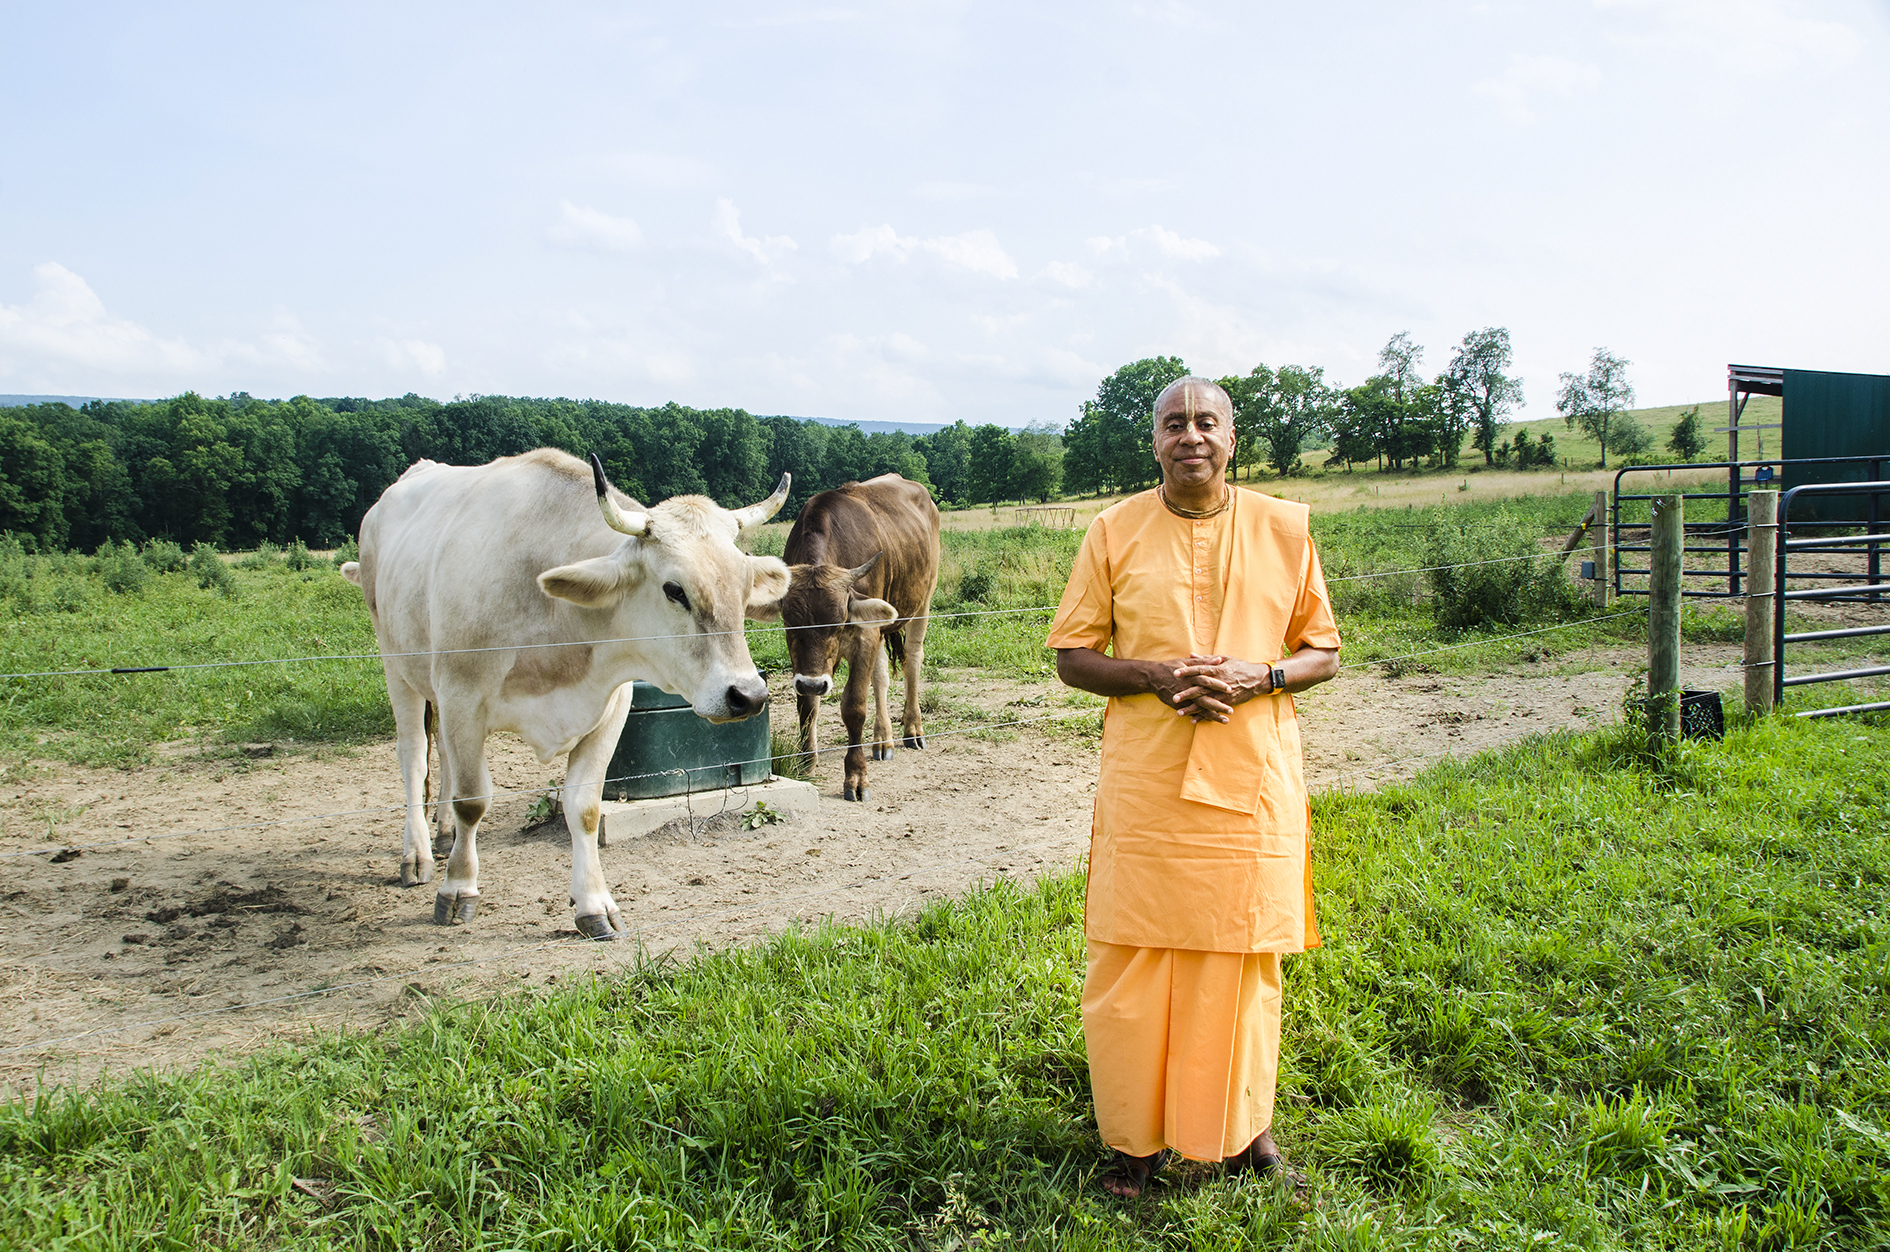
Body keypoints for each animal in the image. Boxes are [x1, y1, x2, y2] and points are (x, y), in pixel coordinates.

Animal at [343, 452, 786, 941]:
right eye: (675, 590)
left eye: (745, 587)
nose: (748, 694)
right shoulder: (462, 696)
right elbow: (472, 801)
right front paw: (457, 888)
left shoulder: (611, 707)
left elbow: (585, 808)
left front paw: (593, 904)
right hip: (395, 663)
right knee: (414, 756)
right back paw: (418, 853)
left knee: (440, 753)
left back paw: (443, 835)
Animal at [763, 470, 941, 805]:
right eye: (790, 623)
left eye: (837, 623)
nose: (814, 683)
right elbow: (807, 704)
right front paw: (807, 760)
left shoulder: (864, 634)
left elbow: (854, 706)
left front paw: (856, 776)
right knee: (881, 676)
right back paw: (883, 739)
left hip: (922, 601)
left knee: (913, 660)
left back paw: (912, 729)